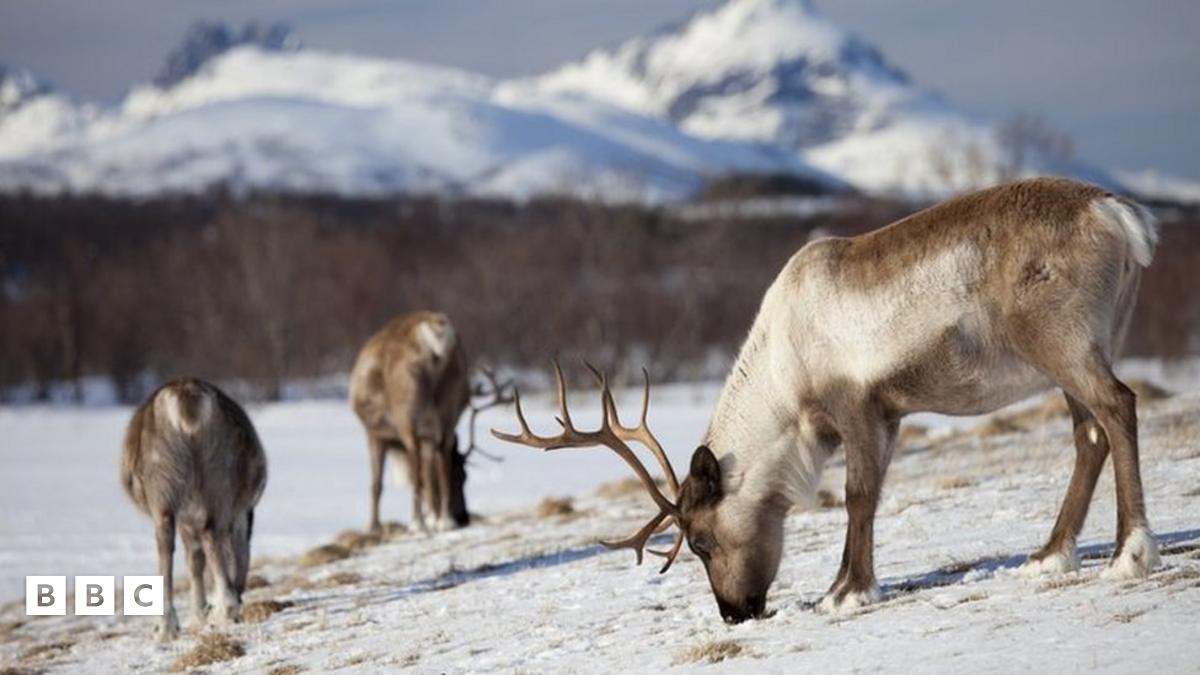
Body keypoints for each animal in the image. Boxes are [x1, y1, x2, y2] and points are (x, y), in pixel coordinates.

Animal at [120, 377, 267, 641]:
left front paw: (202, 614)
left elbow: (195, 559)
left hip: (172, 490)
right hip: (204, 484)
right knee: (203, 540)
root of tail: (187, 402)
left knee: (180, 545)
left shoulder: (193, 516)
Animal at [350, 311, 502, 534]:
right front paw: (434, 516)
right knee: (443, 453)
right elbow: (430, 475)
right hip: (450, 406)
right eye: (463, 476)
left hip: (407, 413)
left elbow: (377, 484)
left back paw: (417, 522)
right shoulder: (429, 434)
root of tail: (436, 334)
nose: (463, 517)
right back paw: (444, 520)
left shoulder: (374, 432)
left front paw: (374, 526)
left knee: (415, 469)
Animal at [493, 178, 1162, 623]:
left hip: (1063, 342)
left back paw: (1130, 553)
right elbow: (864, 497)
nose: (734, 612)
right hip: (1085, 347)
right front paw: (840, 585)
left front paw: (847, 592)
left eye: (701, 541)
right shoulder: (890, 415)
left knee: (1118, 406)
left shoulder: (857, 405)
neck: (785, 379)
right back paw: (1049, 556)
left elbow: (856, 496)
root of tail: (1118, 214)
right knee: (1089, 434)